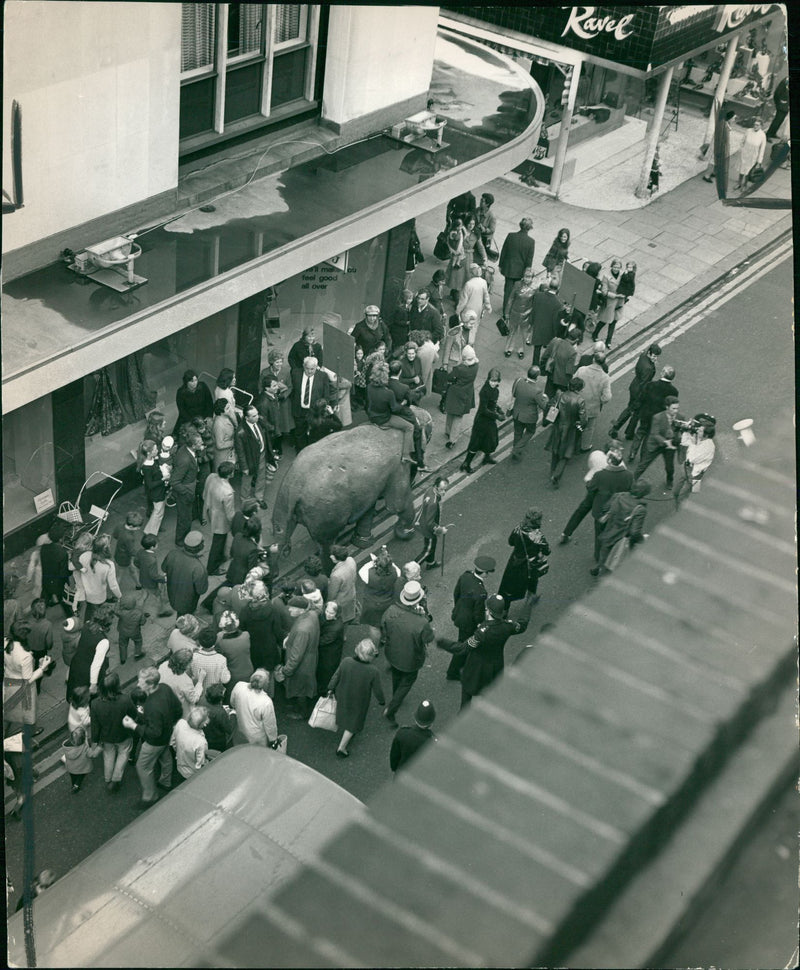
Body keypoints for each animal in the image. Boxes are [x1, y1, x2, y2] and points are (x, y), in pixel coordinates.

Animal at [270, 426, 416, 556]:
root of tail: (293, 486)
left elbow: (369, 509)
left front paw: (363, 542)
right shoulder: (399, 465)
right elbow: (397, 505)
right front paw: (407, 533)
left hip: (286, 504)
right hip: (324, 511)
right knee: (326, 541)